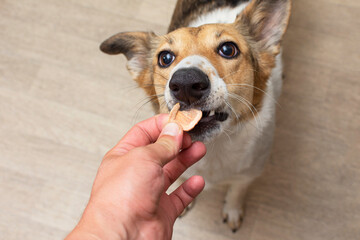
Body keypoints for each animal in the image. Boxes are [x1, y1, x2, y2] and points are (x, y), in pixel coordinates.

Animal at [100, 0, 292, 232]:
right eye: (165, 58)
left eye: (228, 49)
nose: (185, 83)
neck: (215, 147)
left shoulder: (249, 172)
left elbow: (237, 190)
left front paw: (233, 209)